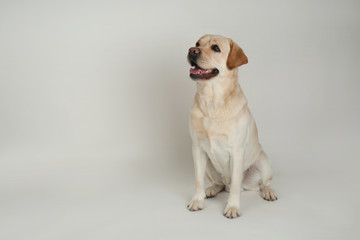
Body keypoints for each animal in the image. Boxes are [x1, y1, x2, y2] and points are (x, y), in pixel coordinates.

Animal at [187, 34, 278, 218]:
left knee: (262, 183)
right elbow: (198, 181)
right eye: (197, 44)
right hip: (209, 166)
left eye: (215, 48)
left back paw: (268, 192)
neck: (211, 101)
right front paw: (197, 201)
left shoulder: (236, 151)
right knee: (220, 183)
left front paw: (233, 207)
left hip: (263, 161)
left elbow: (236, 185)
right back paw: (211, 190)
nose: (192, 50)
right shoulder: (197, 148)